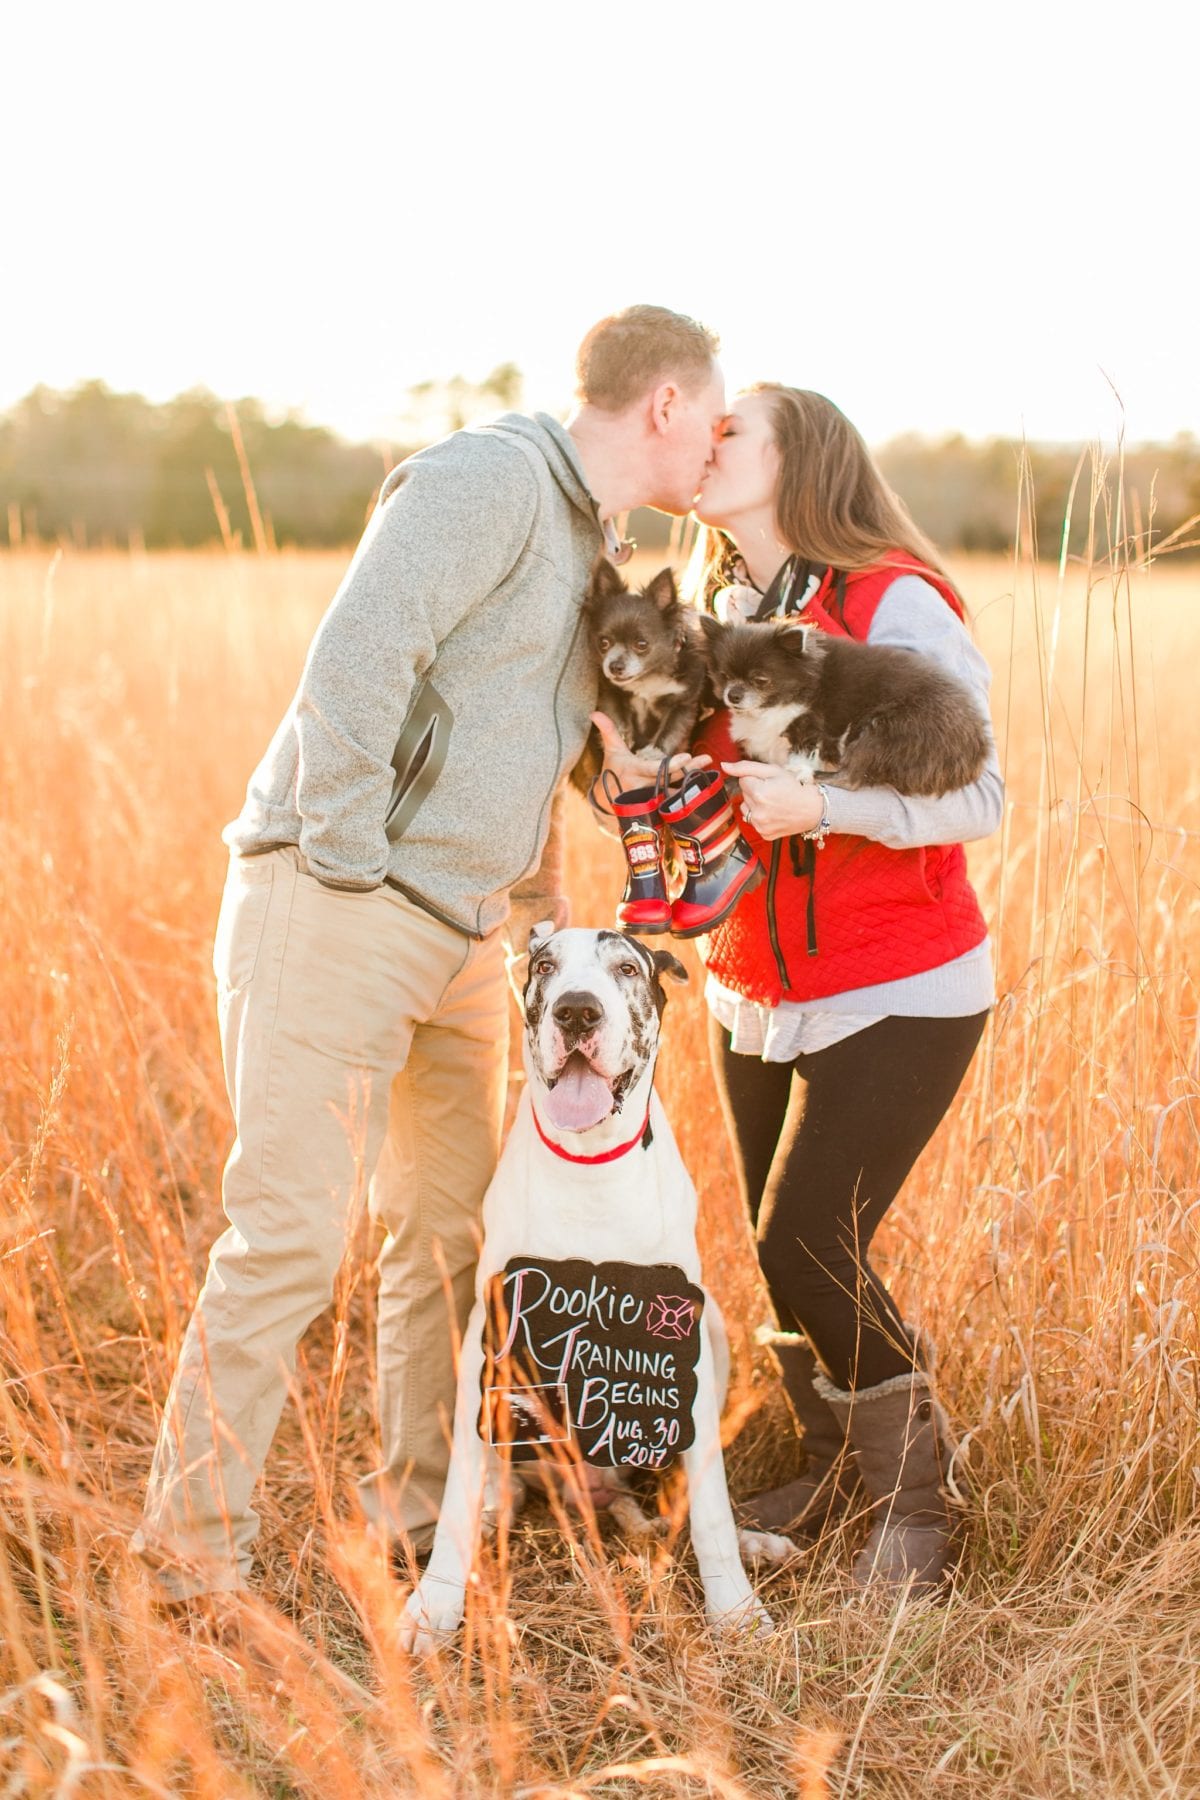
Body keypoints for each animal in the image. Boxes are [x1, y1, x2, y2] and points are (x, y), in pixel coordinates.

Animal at [401, 928, 798, 1648]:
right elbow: (455, 1497)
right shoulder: (489, 1336)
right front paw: (433, 1605)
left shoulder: (678, 1350)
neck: (588, 1165)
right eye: (545, 965)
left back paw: (756, 1544)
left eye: (626, 969)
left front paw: (735, 1610)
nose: (578, 1011)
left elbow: (711, 1510)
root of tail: (593, 1492)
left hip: (714, 1333)